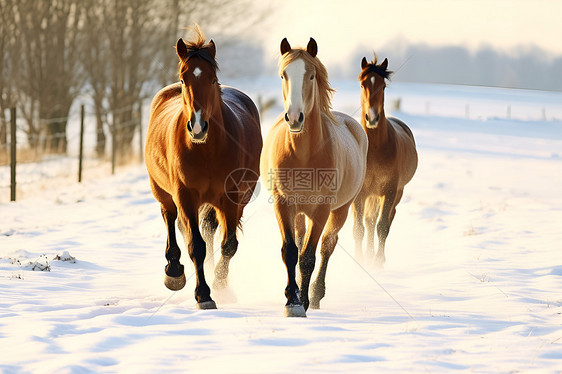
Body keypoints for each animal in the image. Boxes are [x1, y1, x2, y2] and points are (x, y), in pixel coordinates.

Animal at [142, 25, 260, 306]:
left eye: (213, 79)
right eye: (184, 79)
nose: (197, 126)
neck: (206, 149)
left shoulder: (231, 198)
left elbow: (228, 244)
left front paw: (220, 285)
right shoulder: (185, 195)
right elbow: (195, 245)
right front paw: (203, 294)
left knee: (209, 232)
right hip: (163, 192)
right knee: (170, 219)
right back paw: (173, 272)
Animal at [262, 38, 370, 318]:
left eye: (311, 75)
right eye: (283, 74)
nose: (294, 118)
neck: (302, 155)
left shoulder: (321, 209)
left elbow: (309, 256)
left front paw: (303, 301)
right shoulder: (283, 204)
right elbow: (291, 251)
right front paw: (292, 301)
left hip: (340, 210)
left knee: (327, 246)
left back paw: (316, 294)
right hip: (300, 211)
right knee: (301, 243)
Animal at [354, 54, 416, 266]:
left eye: (383, 86)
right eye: (363, 84)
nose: (372, 118)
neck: (374, 149)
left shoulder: (389, 190)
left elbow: (382, 225)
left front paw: (378, 261)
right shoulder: (360, 194)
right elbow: (360, 228)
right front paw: (360, 259)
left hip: (396, 193)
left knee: (384, 221)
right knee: (368, 222)